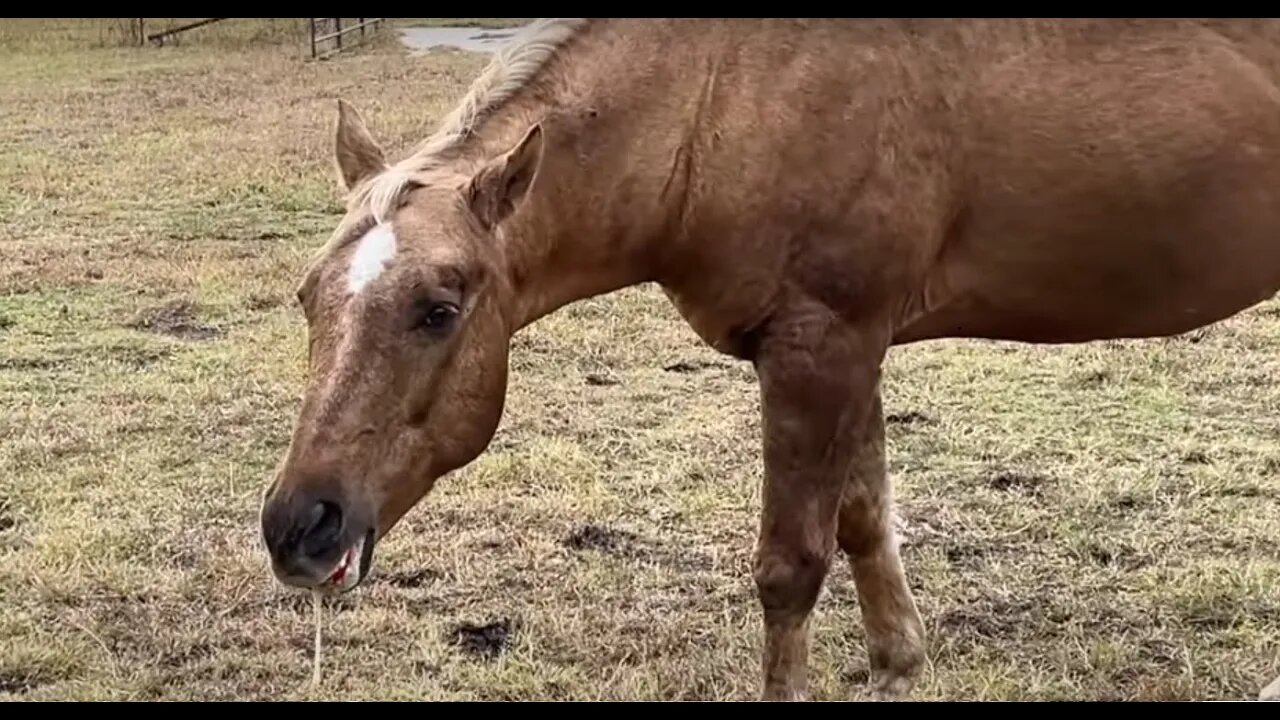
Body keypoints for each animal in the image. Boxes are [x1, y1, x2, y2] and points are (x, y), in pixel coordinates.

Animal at [259, 19, 1280, 696]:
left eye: (437, 310)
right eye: (308, 296)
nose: (299, 526)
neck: (723, 94)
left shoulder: (818, 351)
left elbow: (790, 566)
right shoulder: (854, 349)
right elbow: (865, 519)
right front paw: (899, 663)